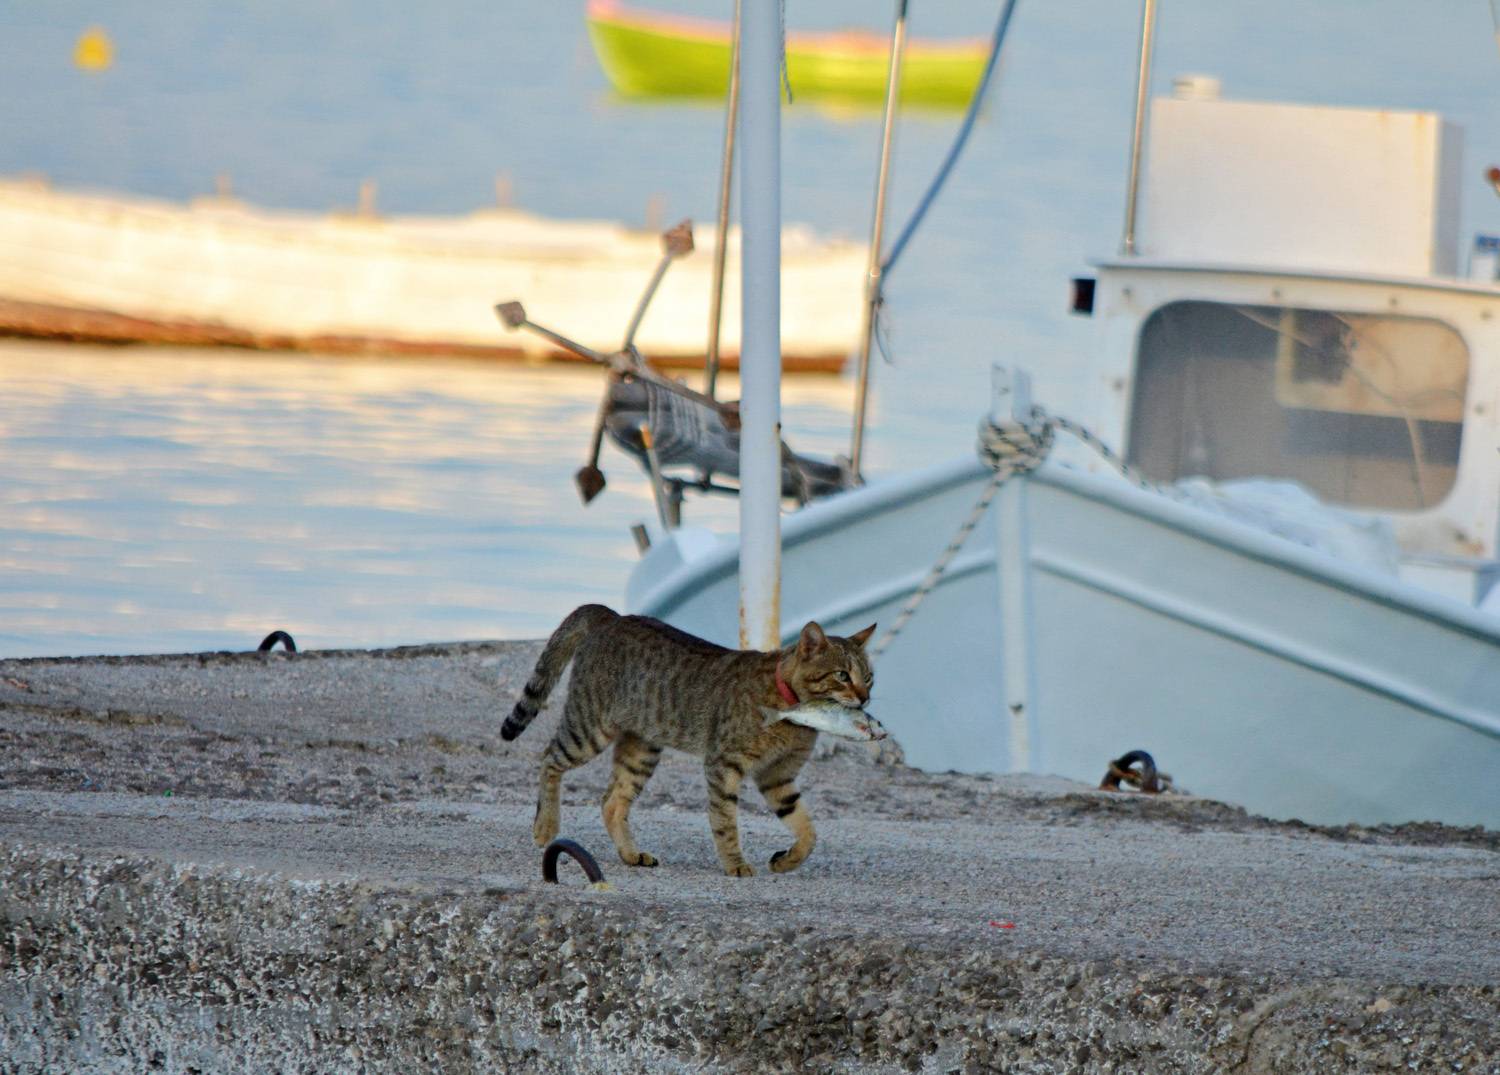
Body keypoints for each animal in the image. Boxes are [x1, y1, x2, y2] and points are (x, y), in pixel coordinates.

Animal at [502, 604, 875, 877]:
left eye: (870, 677)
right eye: (842, 675)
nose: (865, 698)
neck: (792, 713)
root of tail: (613, 615)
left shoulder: (778, 776)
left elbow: (808, 830)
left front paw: (787, 860)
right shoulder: (724, 764)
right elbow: (725, 820)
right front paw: (735, 864)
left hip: (641, 749)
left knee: (612, 802)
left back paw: (631, 854)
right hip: (589, 728)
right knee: (549, 758)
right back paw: (545, 826)